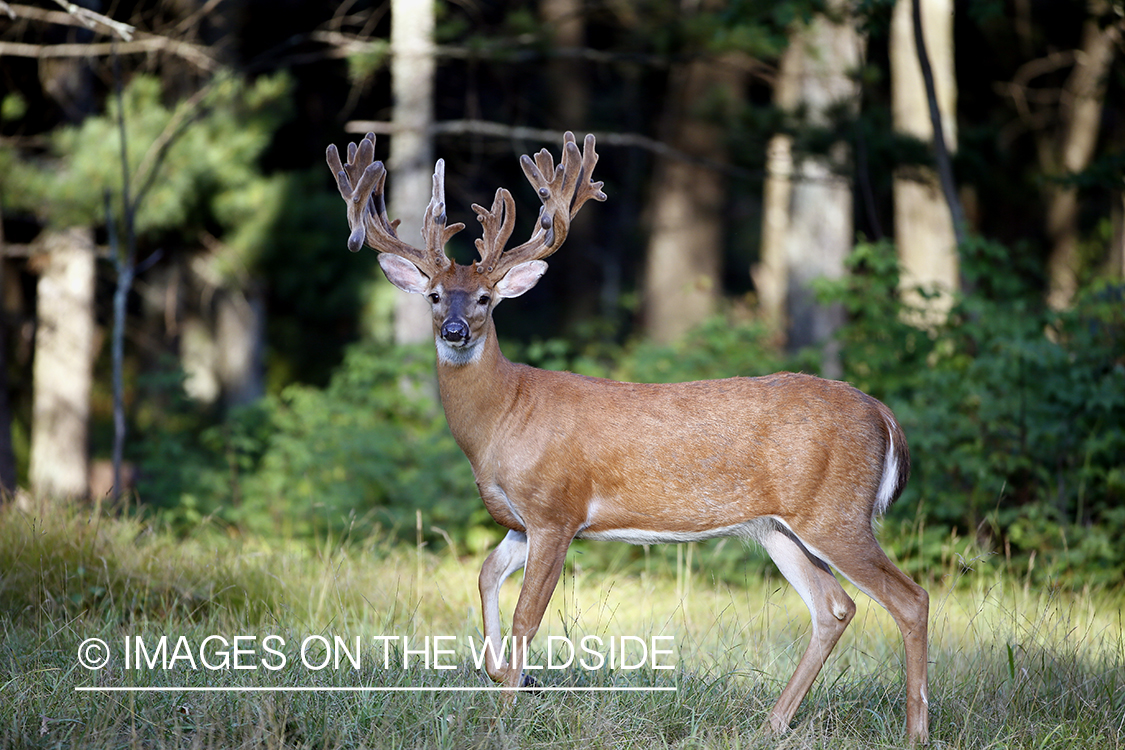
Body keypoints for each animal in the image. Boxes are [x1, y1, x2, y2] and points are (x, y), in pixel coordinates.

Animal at [326, 132, 931, 742]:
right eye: (433, 295)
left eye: (484, 299)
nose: (454, 331)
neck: (504, 416)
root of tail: (883, 413)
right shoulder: (520, 520)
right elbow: (485, 575)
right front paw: (500, 675)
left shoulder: (557, 510)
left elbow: (527, 614)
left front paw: (503, 715)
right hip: (781, 527)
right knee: (834, 606)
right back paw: (772, 725)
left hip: (837, 512)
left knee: (911, 598)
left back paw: (915, 731)